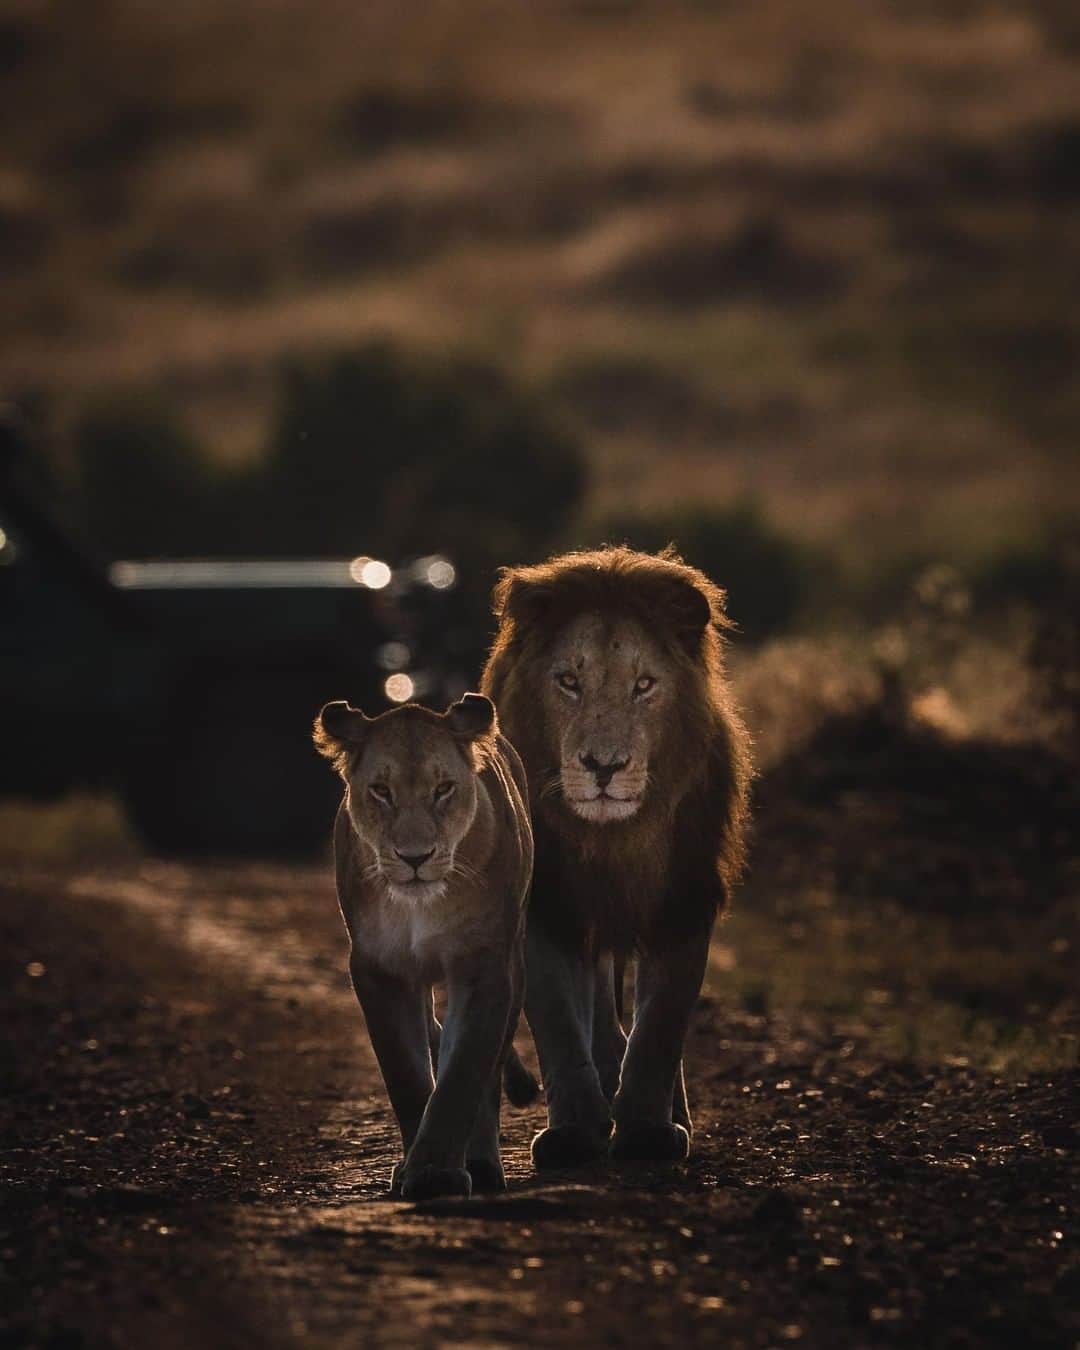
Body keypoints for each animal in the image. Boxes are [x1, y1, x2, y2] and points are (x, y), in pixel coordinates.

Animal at [313, 692, 534, 1201]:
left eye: (443, 789)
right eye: (381, 790)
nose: (415, 858)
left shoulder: (483, 965)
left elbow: (464, 1070)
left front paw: (437, 1171)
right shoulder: (380, 971)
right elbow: (407, 1073)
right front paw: (417, 1166)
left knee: (489, 1072)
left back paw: (483, 1163)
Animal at [480, 546, 752, 1167]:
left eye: (645, 685)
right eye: (568, 681)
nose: (603, 766)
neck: (612, 840)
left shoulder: (684, 900)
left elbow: (661, 1026)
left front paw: (649, 1130)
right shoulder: (547, 906)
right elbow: (559, 1019)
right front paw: (576, 1131)